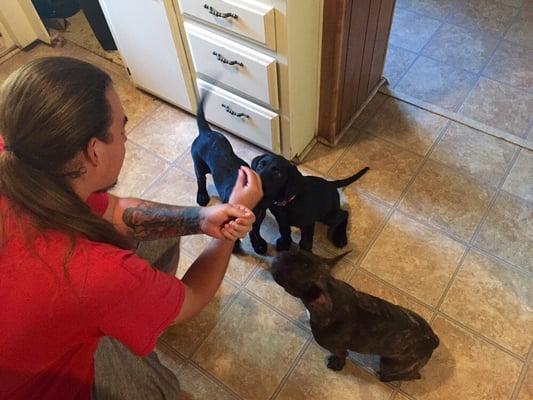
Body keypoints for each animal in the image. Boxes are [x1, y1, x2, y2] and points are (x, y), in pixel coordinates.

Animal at [272, 250, 438, 382]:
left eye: (295, 271)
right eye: (298, 252)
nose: (279, 254)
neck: (331, 289)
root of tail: (433, 341)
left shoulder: (337, 348)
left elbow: (341, 356)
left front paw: (337, 365)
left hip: (389, 364)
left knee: (410, 375)